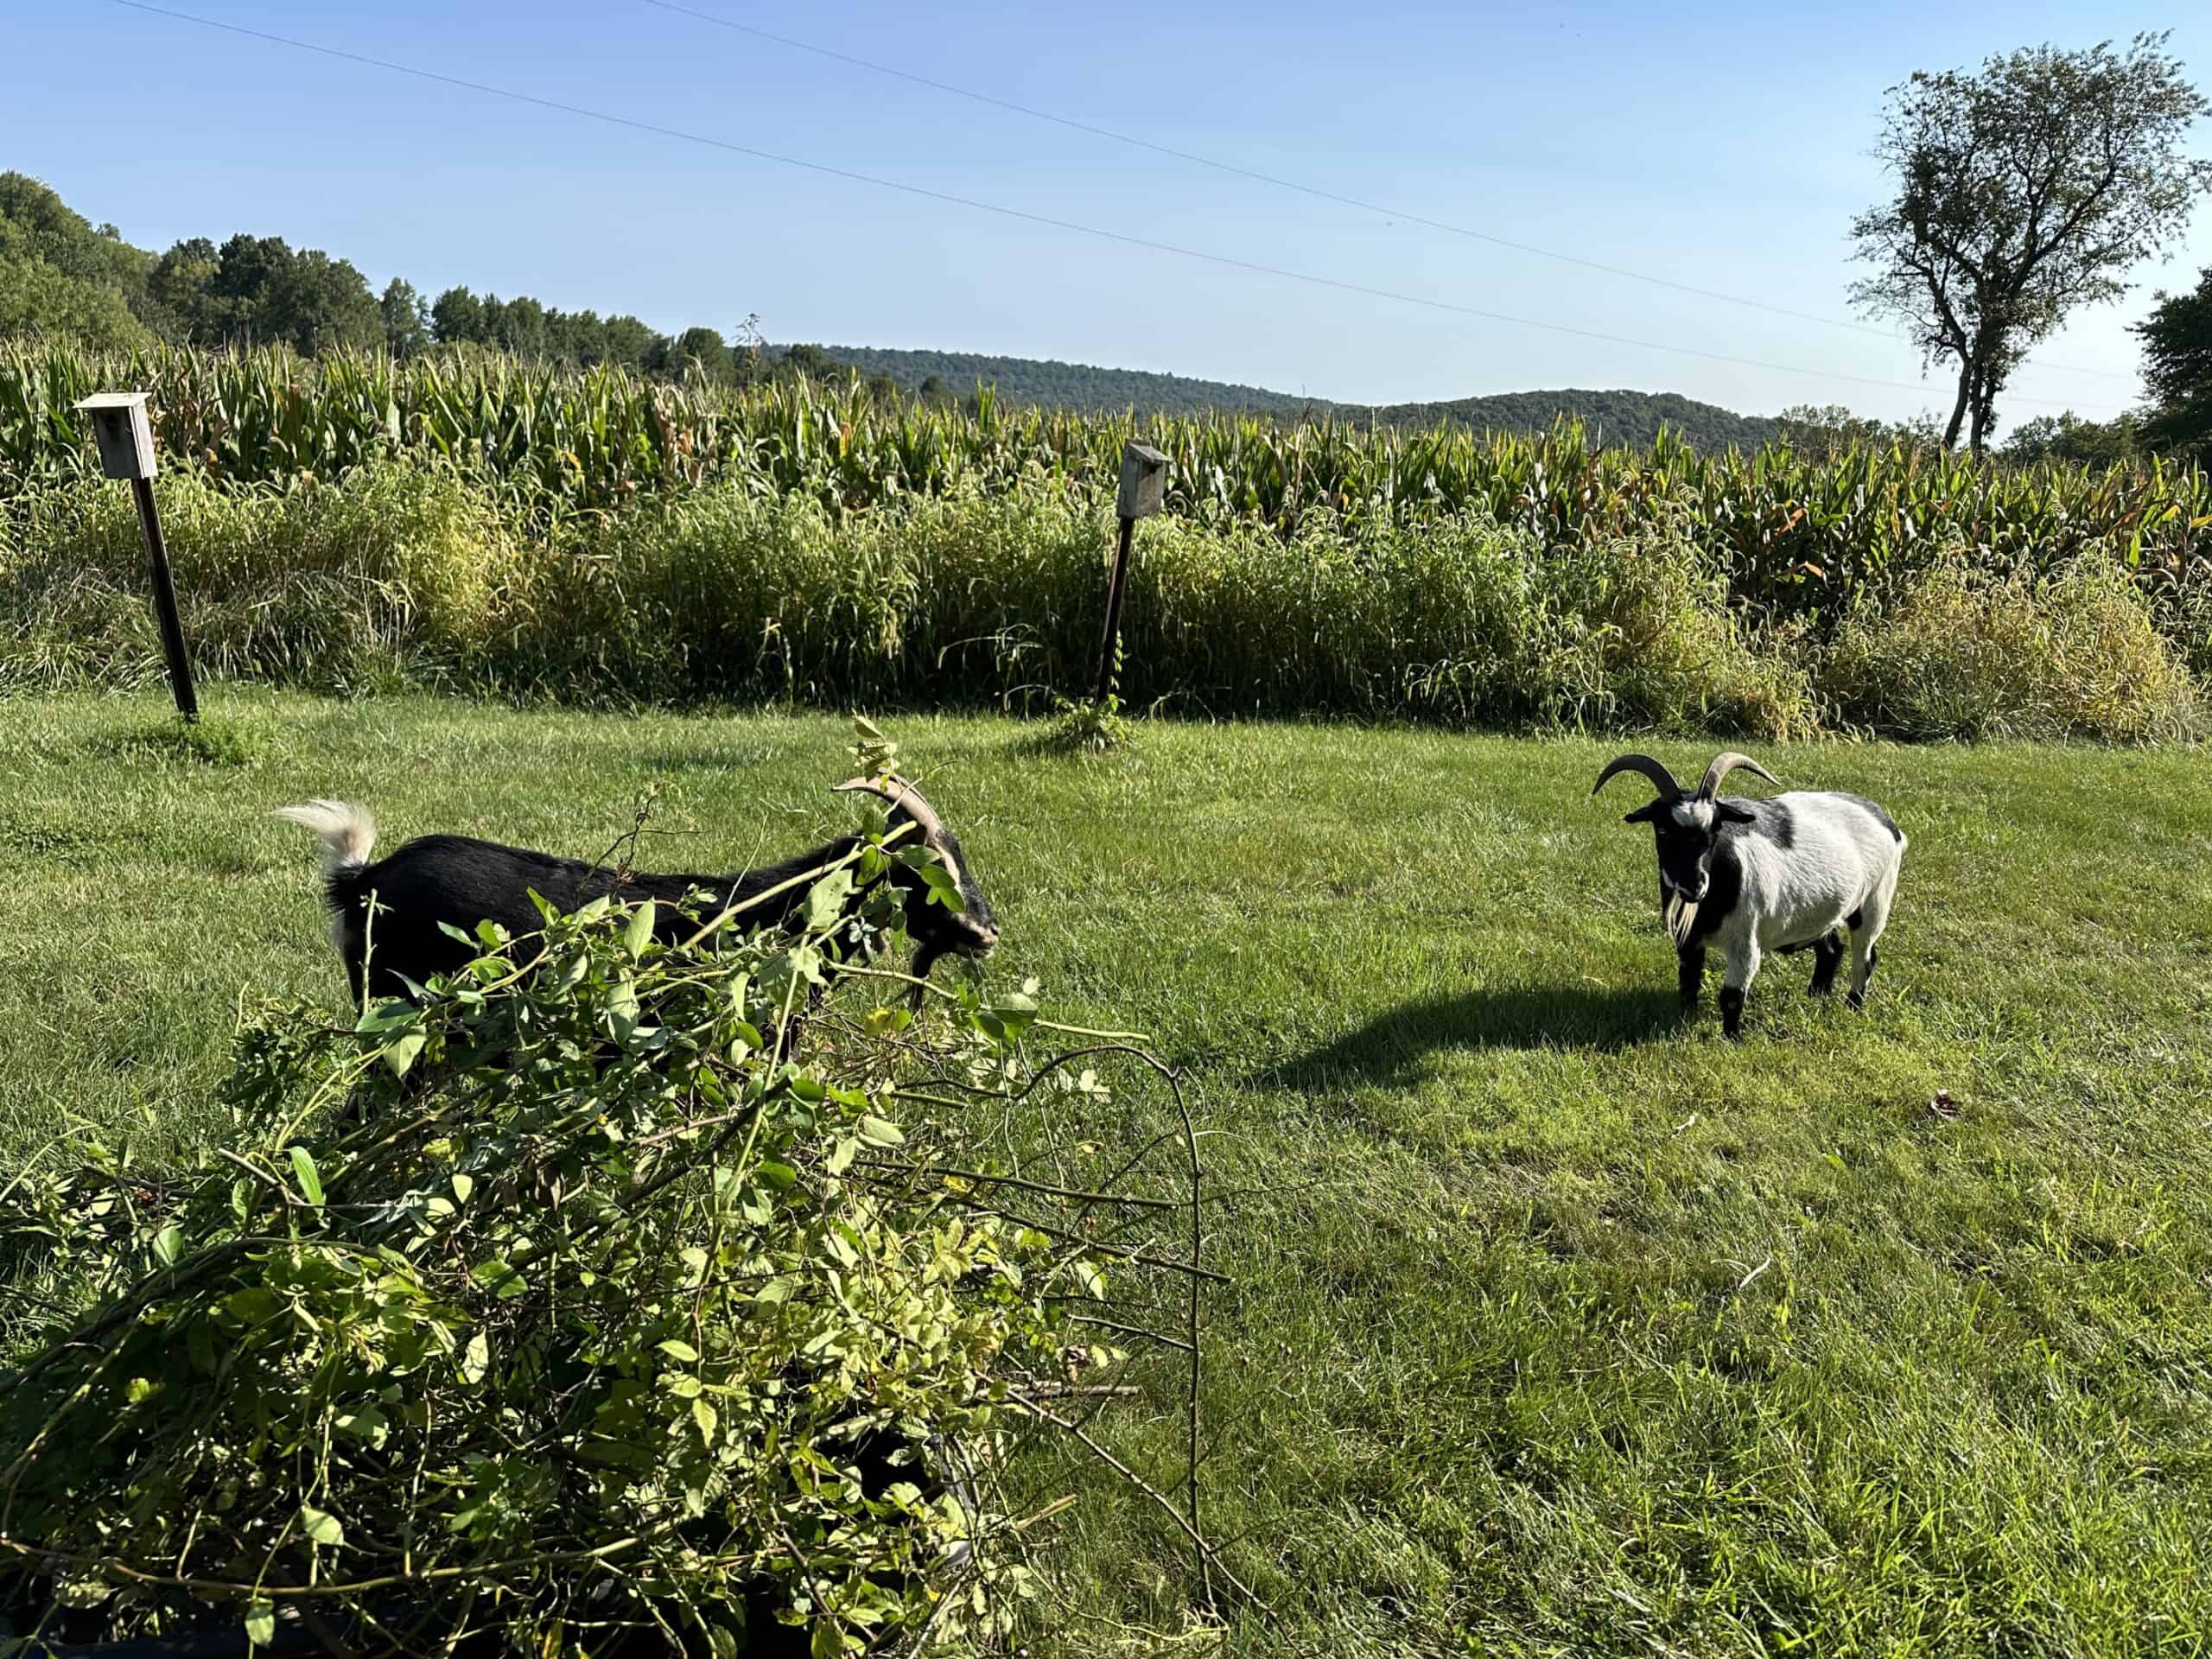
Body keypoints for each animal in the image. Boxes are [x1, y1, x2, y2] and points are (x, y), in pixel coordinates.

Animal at [1592, 752, 1902, 1039]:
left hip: (1875, 902)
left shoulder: (1745, 943)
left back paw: (1853, 1007)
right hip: (1821, 911)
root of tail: (1886, 821)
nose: (1695, 885)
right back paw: (1816, 997)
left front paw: (1730, 1039)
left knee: (1864, 958)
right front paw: (1684, 1020)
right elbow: (1688, 982)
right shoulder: (1688, 942)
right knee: (1831, 949)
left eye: (1716, 828)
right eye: (1663, 828)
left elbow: (1731, 997)